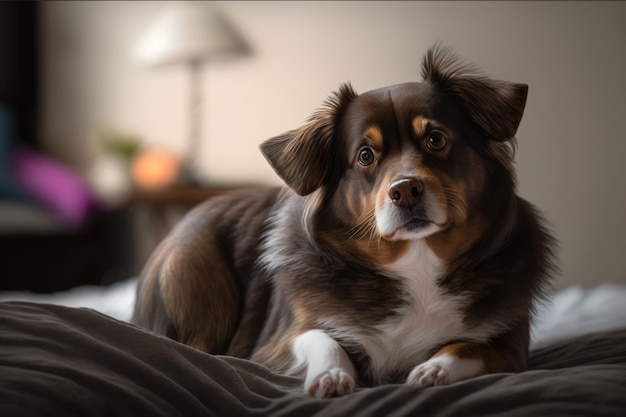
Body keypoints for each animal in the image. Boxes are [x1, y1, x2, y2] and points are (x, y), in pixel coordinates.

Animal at [134, 45, 552, 396]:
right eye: (365, 155)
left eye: (436, 139)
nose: (406, 191)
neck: (417, 261)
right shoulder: (276, 344)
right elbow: (322, 337)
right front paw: (332, 374)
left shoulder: (511, 344)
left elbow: (467, 345)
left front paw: (435, 368)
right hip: (195, 269)